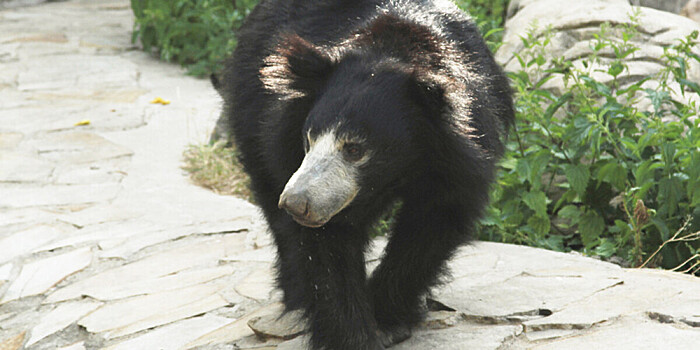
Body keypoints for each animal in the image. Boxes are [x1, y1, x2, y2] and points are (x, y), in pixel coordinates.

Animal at [219, 0, 516, 350]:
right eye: (309, 138)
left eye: (354, 149)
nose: (296, 204)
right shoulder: (290, 144)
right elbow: (327, 250)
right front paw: (353, 336)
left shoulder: (458, 161)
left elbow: (431, 223)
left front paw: (388, 320)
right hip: (250, 113)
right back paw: (296, 298)